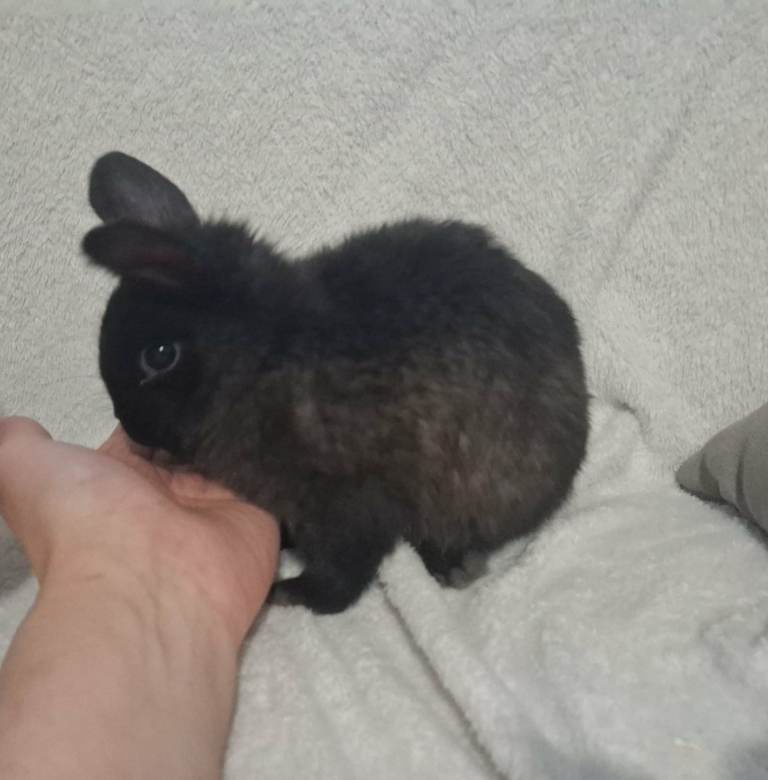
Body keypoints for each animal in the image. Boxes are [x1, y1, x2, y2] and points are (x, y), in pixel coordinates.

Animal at [82, 151, 589, 614]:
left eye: (159, 356)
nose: (132, 429)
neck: (265, 356)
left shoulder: (347, 503)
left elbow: (339, 580)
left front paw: (284, 593)